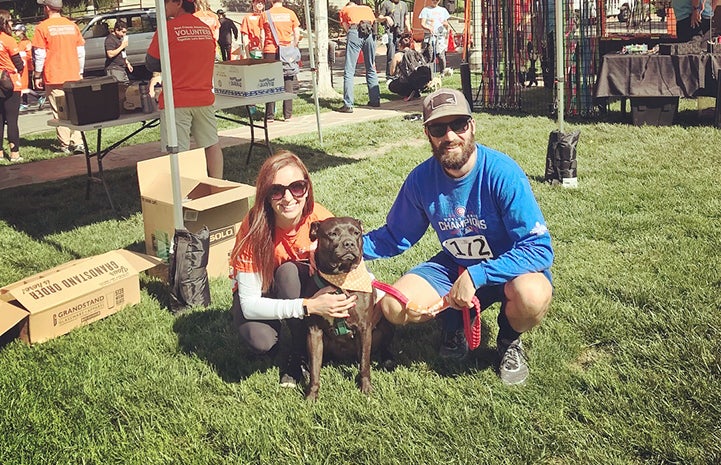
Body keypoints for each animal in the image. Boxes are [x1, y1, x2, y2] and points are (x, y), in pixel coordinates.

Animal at [306, 217, 394, 398]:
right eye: (332, 233)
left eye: (356, 233)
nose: (349, 243)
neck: (338, 282)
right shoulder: (314, 331)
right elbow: (314, 368)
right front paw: (312, 395)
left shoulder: (364, 328)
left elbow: (365, 363)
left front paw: (366, 388)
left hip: (386, 323)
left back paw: (388, 359)